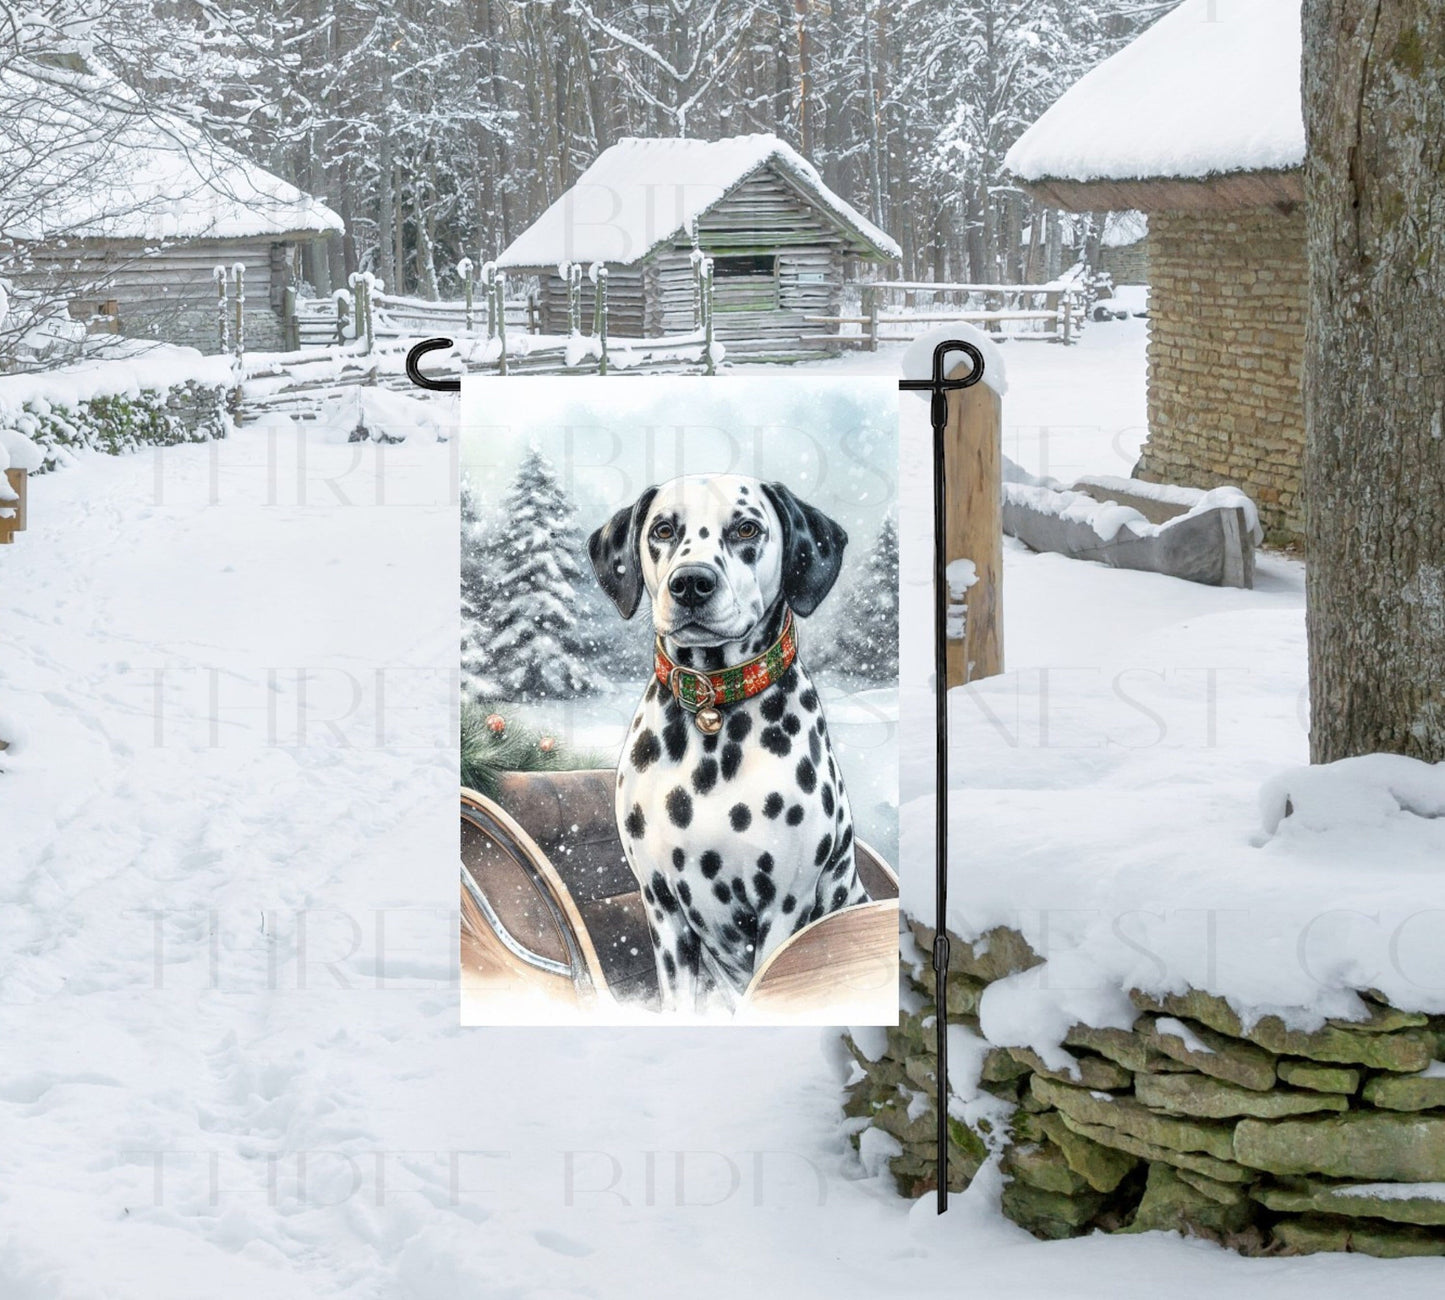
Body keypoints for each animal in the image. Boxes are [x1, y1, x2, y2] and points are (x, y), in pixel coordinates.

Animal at [589, 476, 867, 1016]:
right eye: (662, 529)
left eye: (746, 528)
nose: (691, 583)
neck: (713, 717)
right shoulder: (663, 909)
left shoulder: (783, 908)